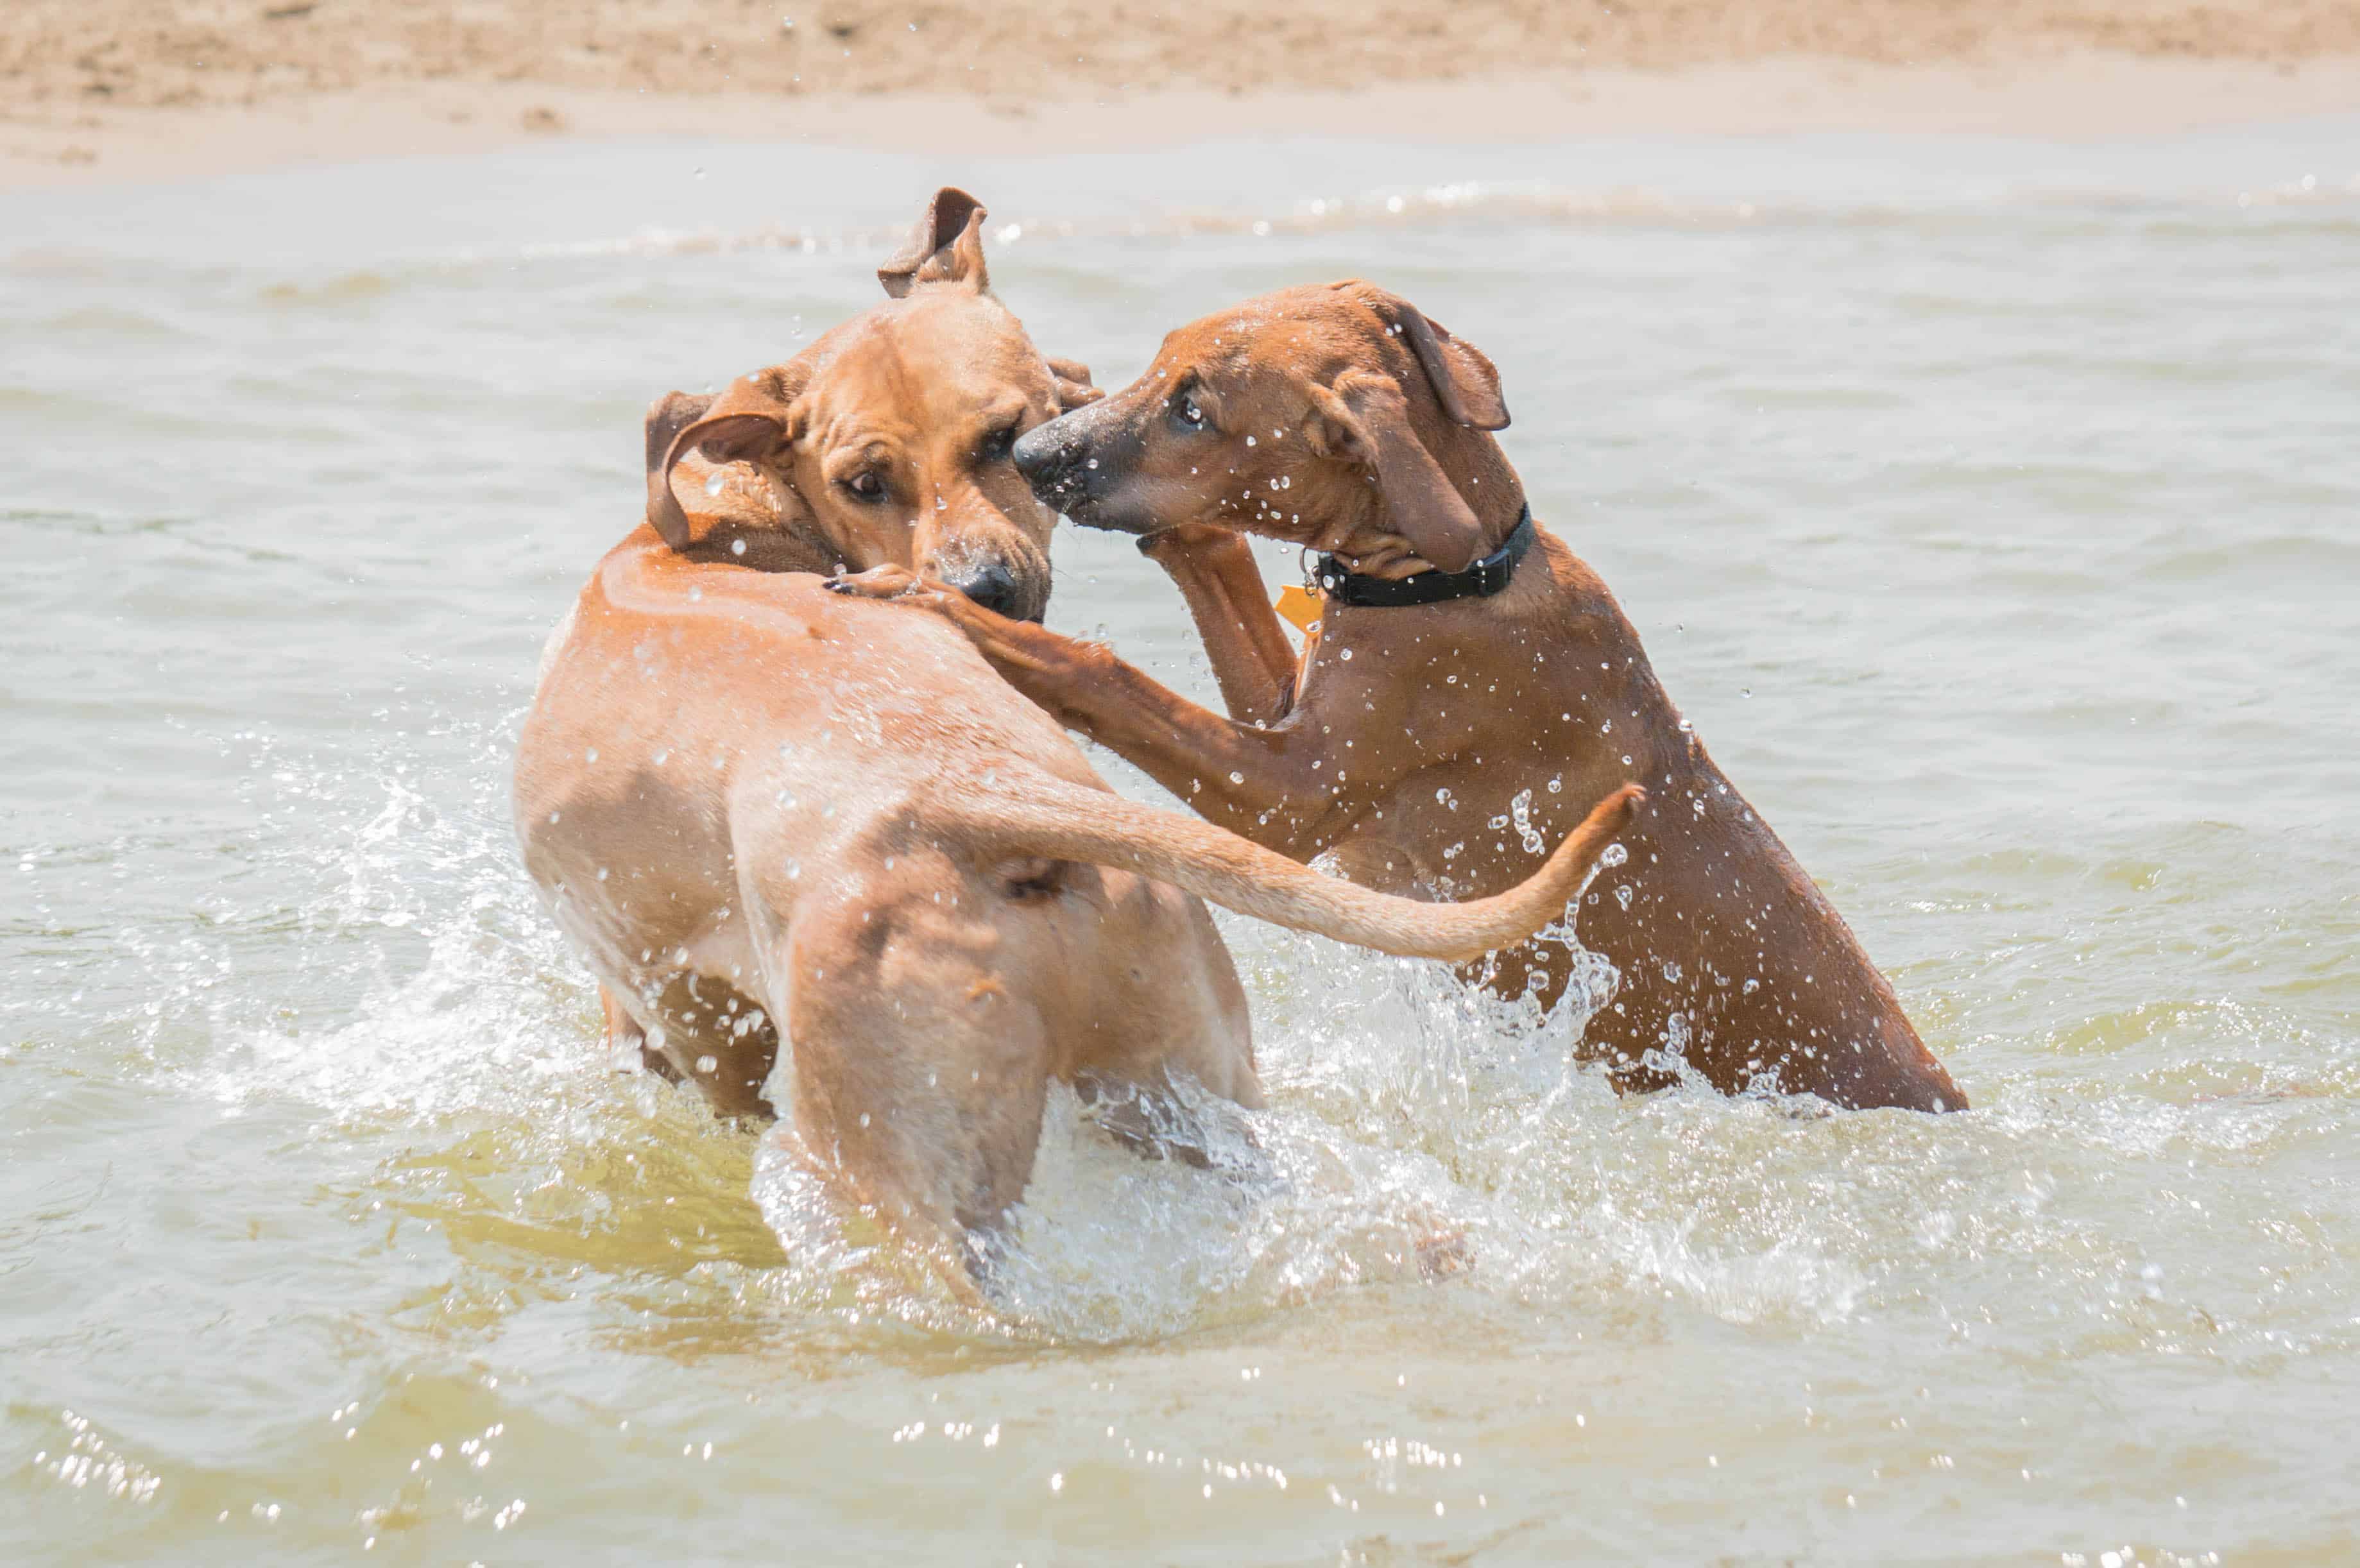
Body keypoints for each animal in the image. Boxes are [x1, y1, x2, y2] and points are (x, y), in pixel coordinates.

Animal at [830, 282, 1972, 1114]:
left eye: (1195, 411)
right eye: (1157, 366)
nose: (1031, 453)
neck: (1449, 577)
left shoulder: (1288, 795)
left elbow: (1102, 672)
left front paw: (941, 603)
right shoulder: (1283, 711)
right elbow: (1224, 584)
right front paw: (1184, 536)